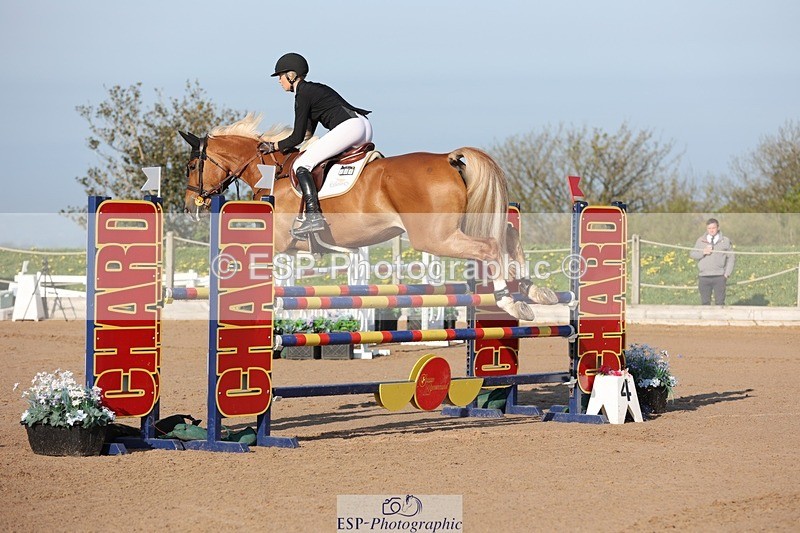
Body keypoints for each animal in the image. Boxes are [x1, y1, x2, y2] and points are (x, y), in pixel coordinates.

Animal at [180, 114, 558, 321]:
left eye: (191, 165)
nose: (189, 205)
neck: (273, 172)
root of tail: (448, 158)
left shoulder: (279, 241)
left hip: (435, 237)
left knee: (489, 246)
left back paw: (512, 303)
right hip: (458, 225)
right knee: (508, 233)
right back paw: (535, 291)